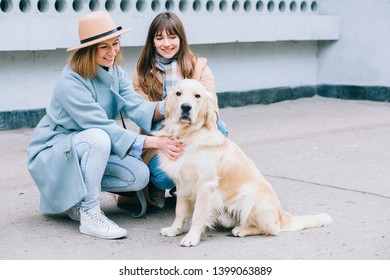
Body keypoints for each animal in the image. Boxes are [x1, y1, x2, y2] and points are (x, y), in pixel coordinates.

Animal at [155, 79, 332, 247]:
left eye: (197, 96)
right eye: (178, 93)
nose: (186, 107)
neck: (188, 135)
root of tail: (281, 215)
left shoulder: (206, 184)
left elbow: (198, 215)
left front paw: (192, 237)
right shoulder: (182, 183)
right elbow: (179, 212)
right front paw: (174, 230)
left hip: (250, 194)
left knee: (272, 229)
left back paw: (241, 230)